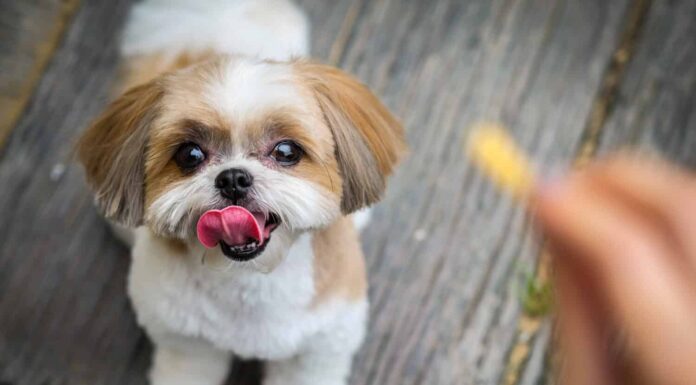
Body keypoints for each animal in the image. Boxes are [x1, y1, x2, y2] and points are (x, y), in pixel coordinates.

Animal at [77, 0, 406, 384]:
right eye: (190, 155)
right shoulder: (189, 345)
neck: (249, 281)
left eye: (286, 151)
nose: (233, 178)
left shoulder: (316, 349)